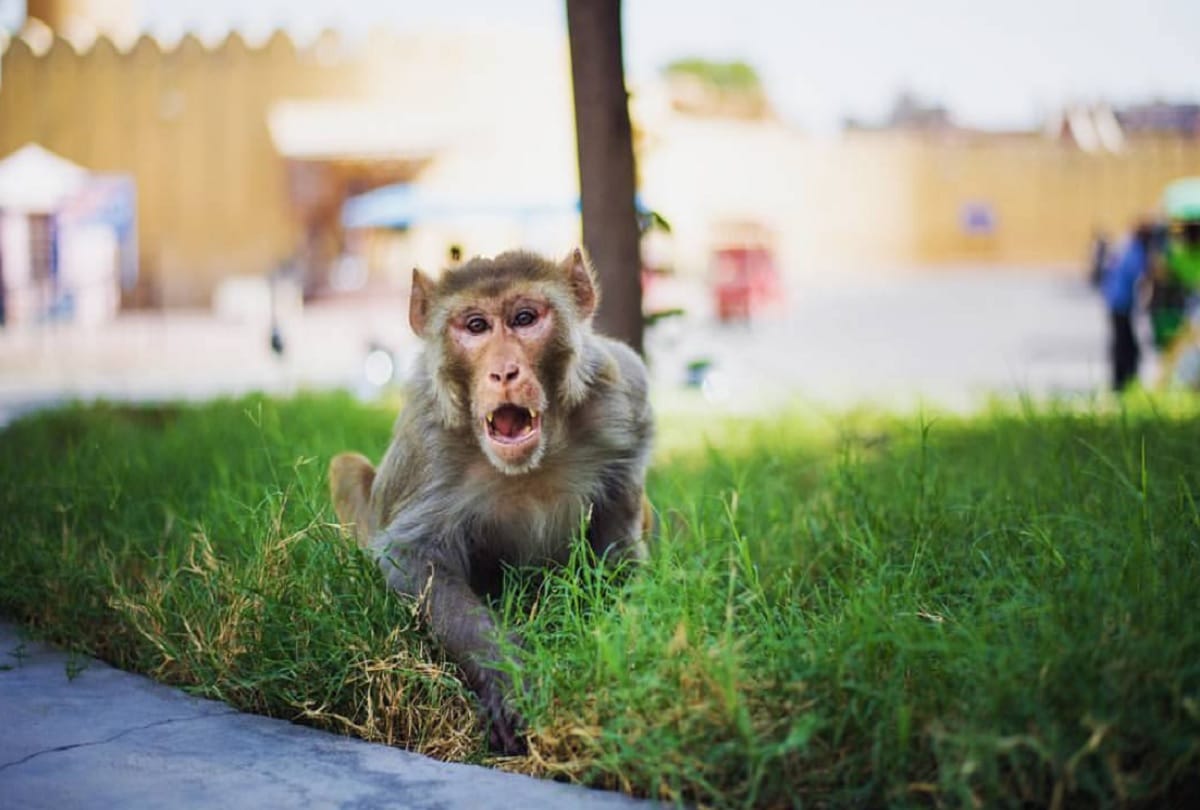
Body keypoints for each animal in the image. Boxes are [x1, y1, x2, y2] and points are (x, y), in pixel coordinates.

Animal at [329, 248, 654, 755]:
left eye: (524, 319)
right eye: (476, 326)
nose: (503, 372)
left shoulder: (626, 397)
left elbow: (617, 548)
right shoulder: (428, 438)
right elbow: (414, 557)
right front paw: (507, 677)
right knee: (347, 468)